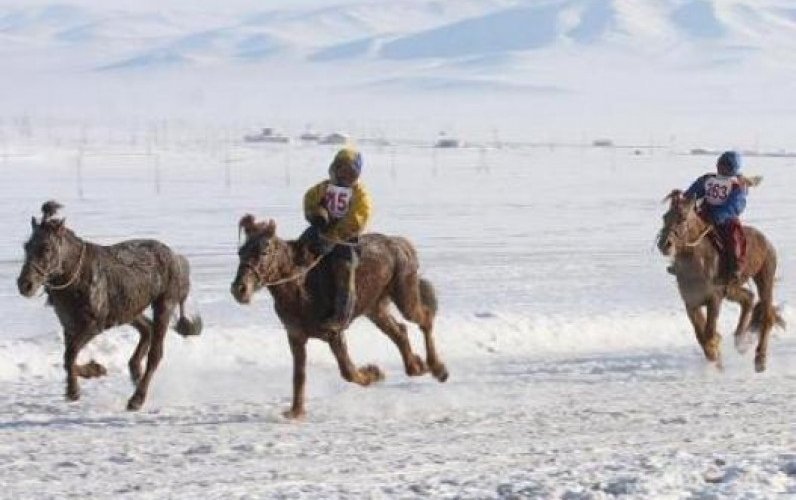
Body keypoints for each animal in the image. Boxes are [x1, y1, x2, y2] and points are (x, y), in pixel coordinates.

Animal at [16, 201, 202, 408]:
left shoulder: (93, 325)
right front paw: (95, 370)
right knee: (147, 329)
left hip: (164, 304)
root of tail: (176, 257)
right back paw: (135, 372)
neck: (76, 278)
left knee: (155, 354)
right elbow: (68, 358)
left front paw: (74, 390)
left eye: (46, 248)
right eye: (26, 246)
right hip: (129, 309)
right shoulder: (70, 326)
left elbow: (69, 355)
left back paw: (137, 398)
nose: (25, 285)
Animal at [230, 215, 448, 418]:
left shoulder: (333, 332)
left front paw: (373, 373)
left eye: (264, 252)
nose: (239, 289)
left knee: (425, 318)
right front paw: (296, 412)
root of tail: (401, 243)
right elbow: (299, 376)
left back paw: (437, 368)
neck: (299, 287)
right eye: (241, 252)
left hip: (404, 296)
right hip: (374, 307)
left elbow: (348, 372)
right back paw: (416, 366)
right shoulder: (296, 336)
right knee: (399, 331)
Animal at [660, 191, 784, 372]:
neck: (697, 260)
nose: (664, 244)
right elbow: (701, 335)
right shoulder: (691, 302)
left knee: (766, 316)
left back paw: (760, 360)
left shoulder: (714, 298)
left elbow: (709, 332)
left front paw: (715, 354)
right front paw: (715, 358)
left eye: (682, 218)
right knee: (748, 298)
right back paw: (740, 341)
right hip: (731, 288)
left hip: (764, 278)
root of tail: (766, 240)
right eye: (665, 217)